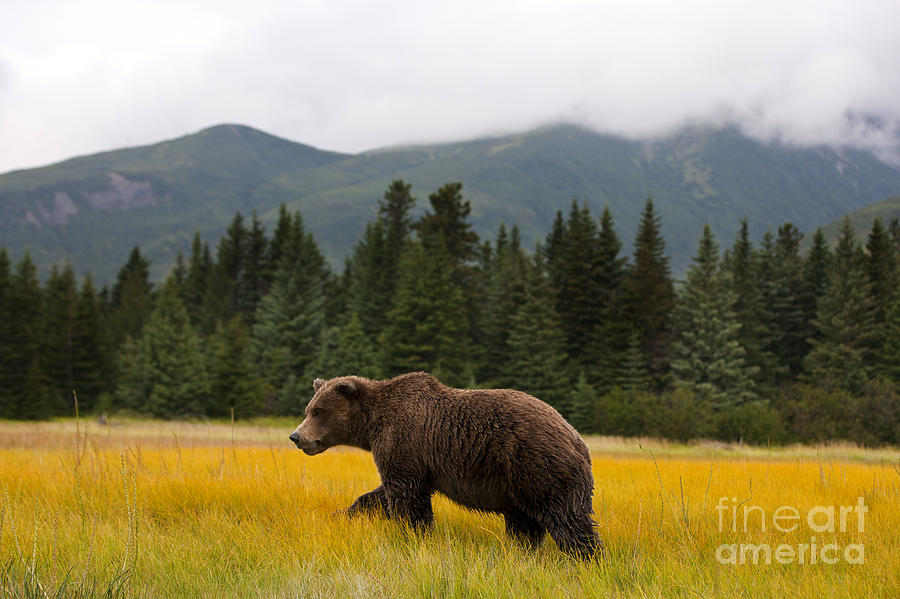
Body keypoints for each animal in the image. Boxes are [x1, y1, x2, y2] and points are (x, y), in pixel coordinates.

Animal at [292, 372, 600, 560]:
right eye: (308, 410)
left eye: (318, 412)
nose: (296, 436)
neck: (372, 424)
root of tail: (578, 439)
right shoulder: (413, 462)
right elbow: (381, 494)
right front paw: (343, 513)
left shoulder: (405, 442)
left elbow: (406, 498)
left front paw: (412, 533)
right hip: (518, 485)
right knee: (524, 523)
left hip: (538, 465)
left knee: (566, 518)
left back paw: (586, 557)